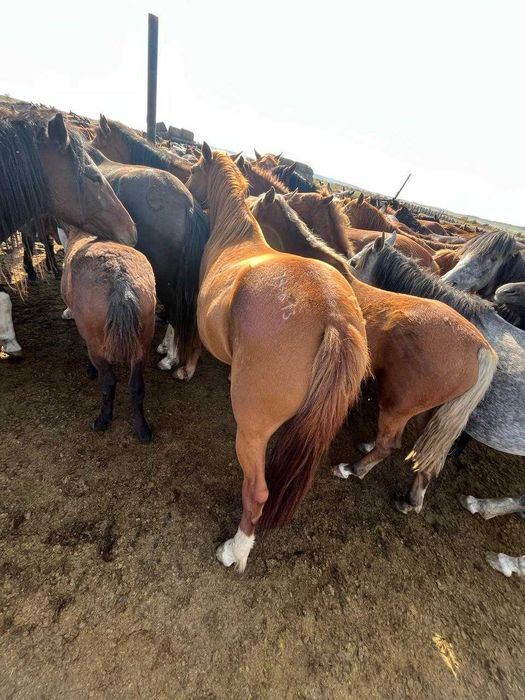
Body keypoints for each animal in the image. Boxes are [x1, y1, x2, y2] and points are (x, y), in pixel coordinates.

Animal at [61, 227, 156, 442]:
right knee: (136, 387)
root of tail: (120, 281)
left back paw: (102, 420)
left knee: (108, 383)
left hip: (99, 347)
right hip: (142, 347)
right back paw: (143, 430)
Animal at [186, 145, 369, 571]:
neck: (236, 236)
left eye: (195, 169)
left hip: (252, 432)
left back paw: (235, 551)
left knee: (257, 492)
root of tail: (334, 317)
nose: (185, 184)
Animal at [250, 189, 497, 513]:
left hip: (397, 403)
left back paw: (353, 468)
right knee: (426, 456)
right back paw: (410, 499)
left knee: (389, 444)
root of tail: (481, 347)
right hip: (434, 416)